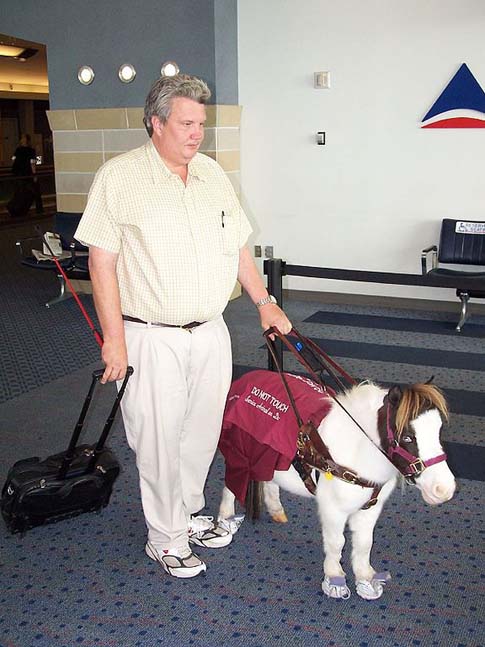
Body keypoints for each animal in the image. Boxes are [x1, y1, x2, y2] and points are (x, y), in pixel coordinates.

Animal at [217, 380, 456, 604]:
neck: (356, 451)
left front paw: (366, 578)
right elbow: (336, 542)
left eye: (439, 430)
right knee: (232, 483)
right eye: (407, 437)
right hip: (238, 453)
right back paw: (226, 518)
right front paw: (334, 579)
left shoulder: (370, 508)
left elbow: (364, 543)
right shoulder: (333, 509)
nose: (444, 489)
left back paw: (276, 510)